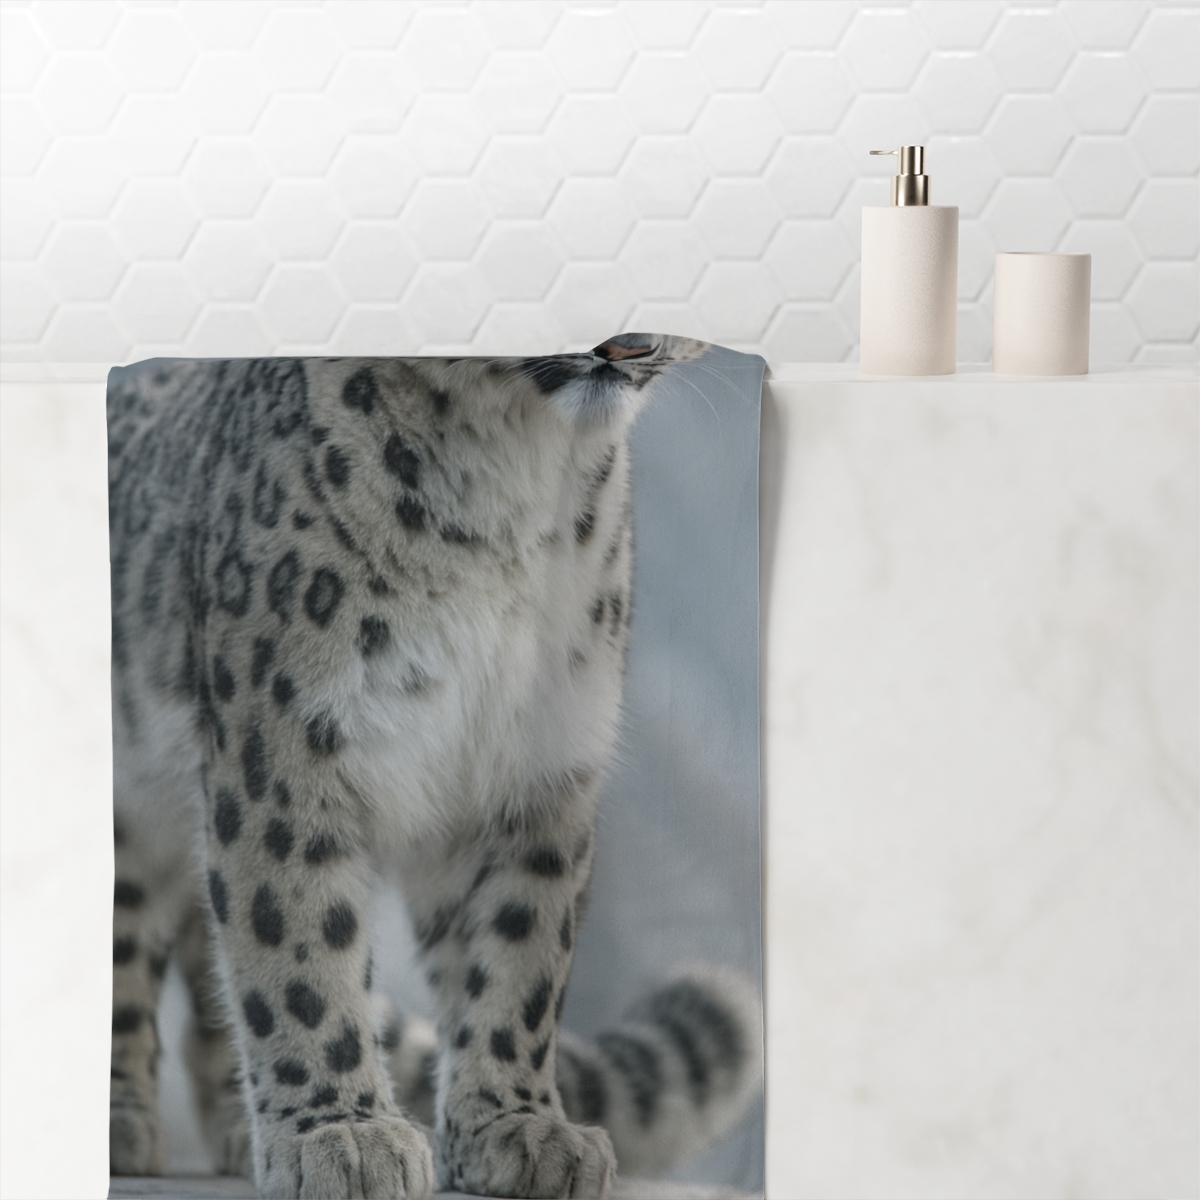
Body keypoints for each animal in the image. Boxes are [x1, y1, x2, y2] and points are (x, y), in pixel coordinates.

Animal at [106, 334, 762, 1200]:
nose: (632, 344)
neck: (518, 474)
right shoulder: (285, 746)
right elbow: (297, 940)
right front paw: (341, 1135)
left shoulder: (533, 764)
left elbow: (520, 948)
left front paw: (520, 1129)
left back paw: (234, 1130)